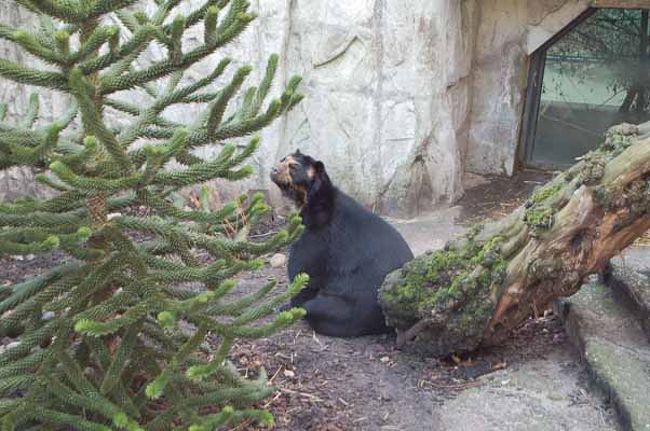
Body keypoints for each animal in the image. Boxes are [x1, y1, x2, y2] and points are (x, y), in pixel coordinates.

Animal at [270, 152, 412, 338]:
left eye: (293, 166)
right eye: (282, 160)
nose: (273, 169)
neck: (309, 200)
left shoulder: (317, 235)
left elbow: (303, 270)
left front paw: (287, 308)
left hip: (346, 306)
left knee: (315, 308)